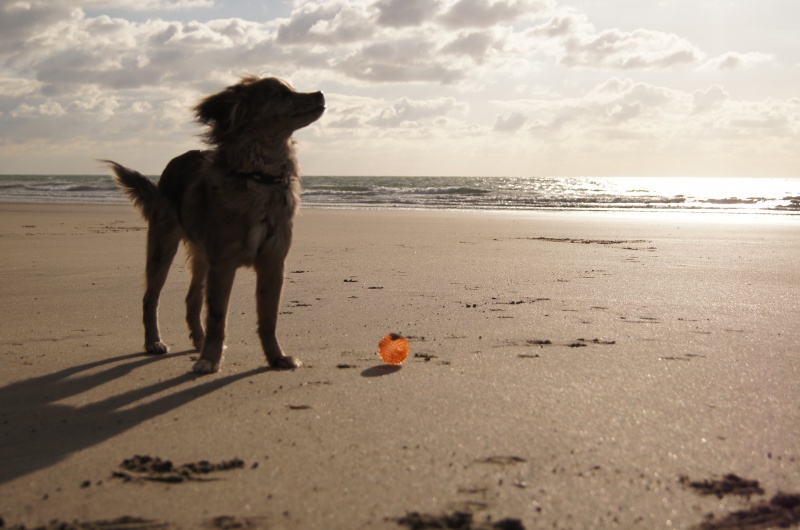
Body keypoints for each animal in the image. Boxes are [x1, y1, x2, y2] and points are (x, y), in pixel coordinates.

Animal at [105, 76, 324, 374]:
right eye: (280, 94)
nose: (321, 93)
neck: (259, 177)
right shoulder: (223, 262)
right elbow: (218, 317)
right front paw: (210, 358)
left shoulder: (273, 262)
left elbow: (269, 318)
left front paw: (276, 357)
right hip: (163, 246)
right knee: (151, 297)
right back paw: (154, 341)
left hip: (201, 256)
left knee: (192, 299)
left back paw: (198, 340)